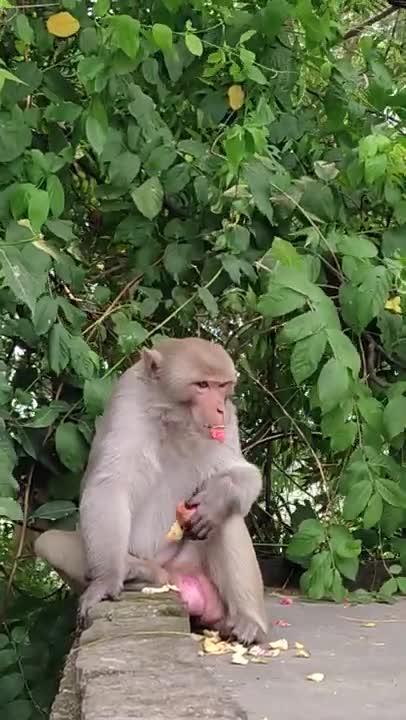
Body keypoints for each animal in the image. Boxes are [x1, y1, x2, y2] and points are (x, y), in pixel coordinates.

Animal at [34, 337, 267, 645]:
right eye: (202, 385)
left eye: (222, 386)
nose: (218, 408)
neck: (174, 417)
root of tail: (173, 577)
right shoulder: (129, 400)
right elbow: (110, 485)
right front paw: (107, 578)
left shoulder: (229, 420)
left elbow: (242, 471)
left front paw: (217, 497)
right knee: (47, 542)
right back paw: (138, 573)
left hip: (189, 562)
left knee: (227, 520)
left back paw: (248, 620)